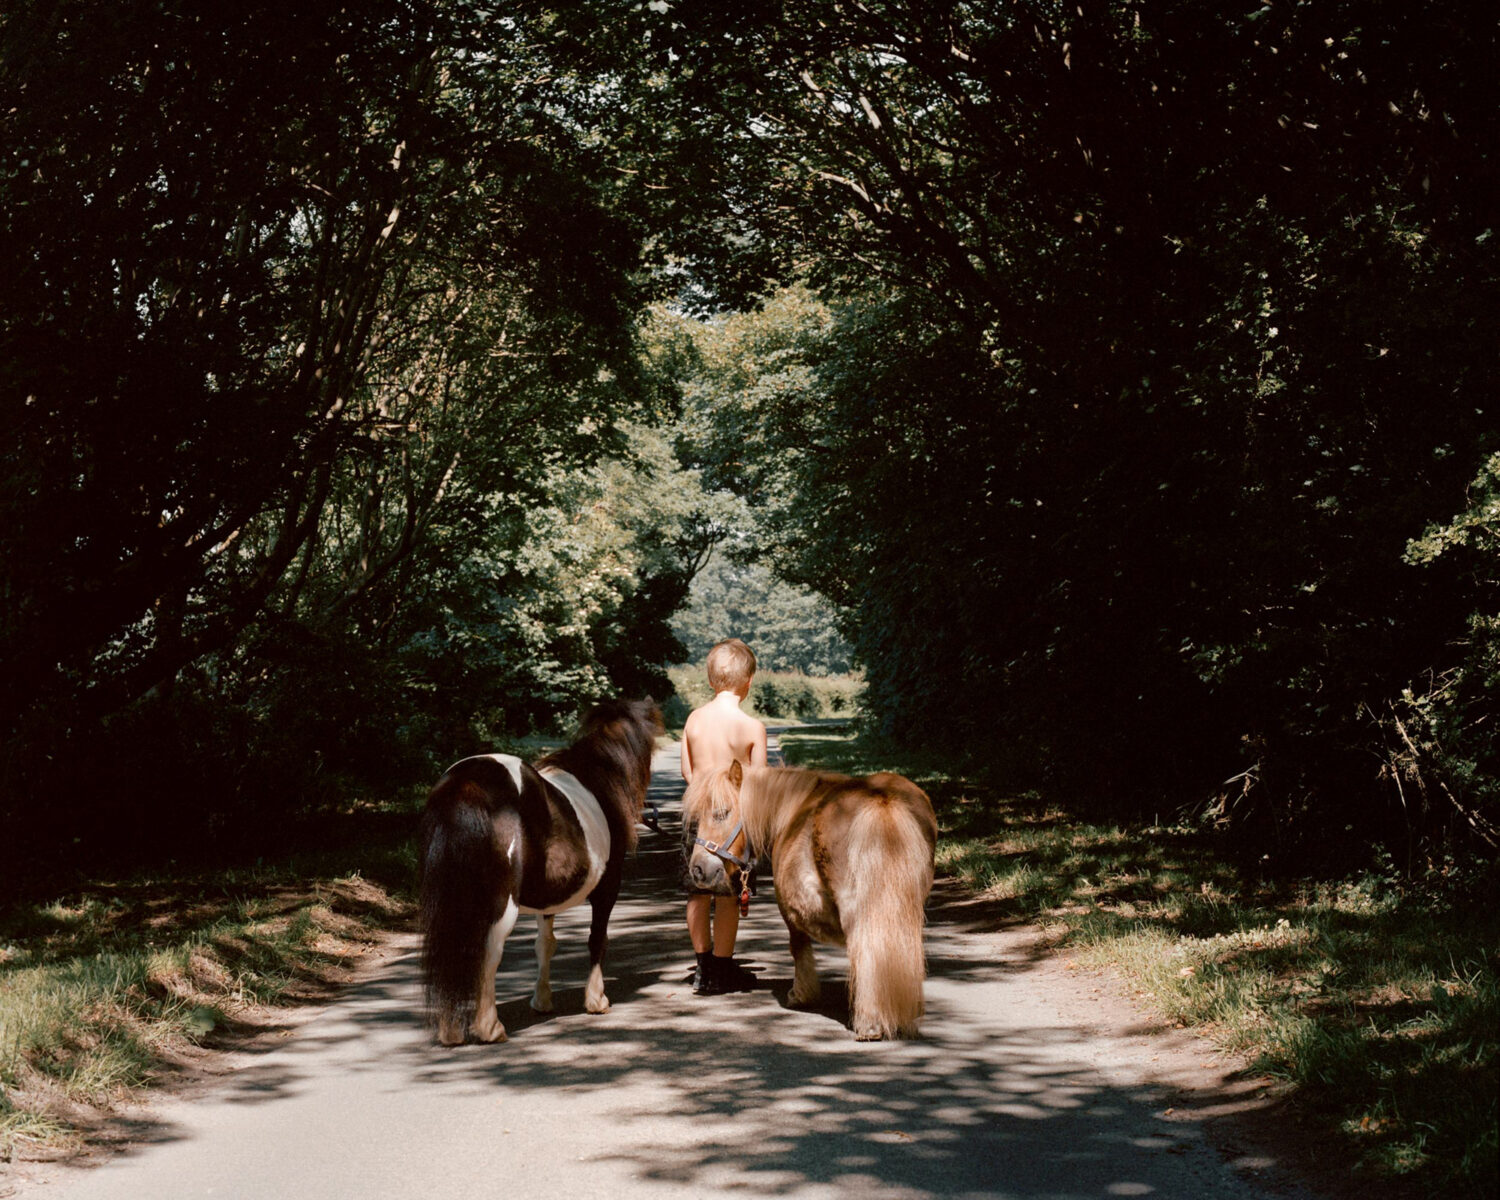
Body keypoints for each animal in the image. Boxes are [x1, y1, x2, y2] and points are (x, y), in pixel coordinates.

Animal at [420, 699, 660, 1044]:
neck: (597, 778)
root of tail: (466, 782)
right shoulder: (608, 888)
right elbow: (597, 939)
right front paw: (596, 1000)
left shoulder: (549, 899)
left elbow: (545, 944)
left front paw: (542, 1001)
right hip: (501, 905)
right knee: (489, 951)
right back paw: (490, 1027)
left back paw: (450, 1029)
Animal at [684, 768, 936, 1038]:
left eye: (721, 813)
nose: (698, 870)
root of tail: (880, 798)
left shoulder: (789, 910)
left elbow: (798, 947)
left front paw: (801, 995)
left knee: (864, 950)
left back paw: (870, 1022)